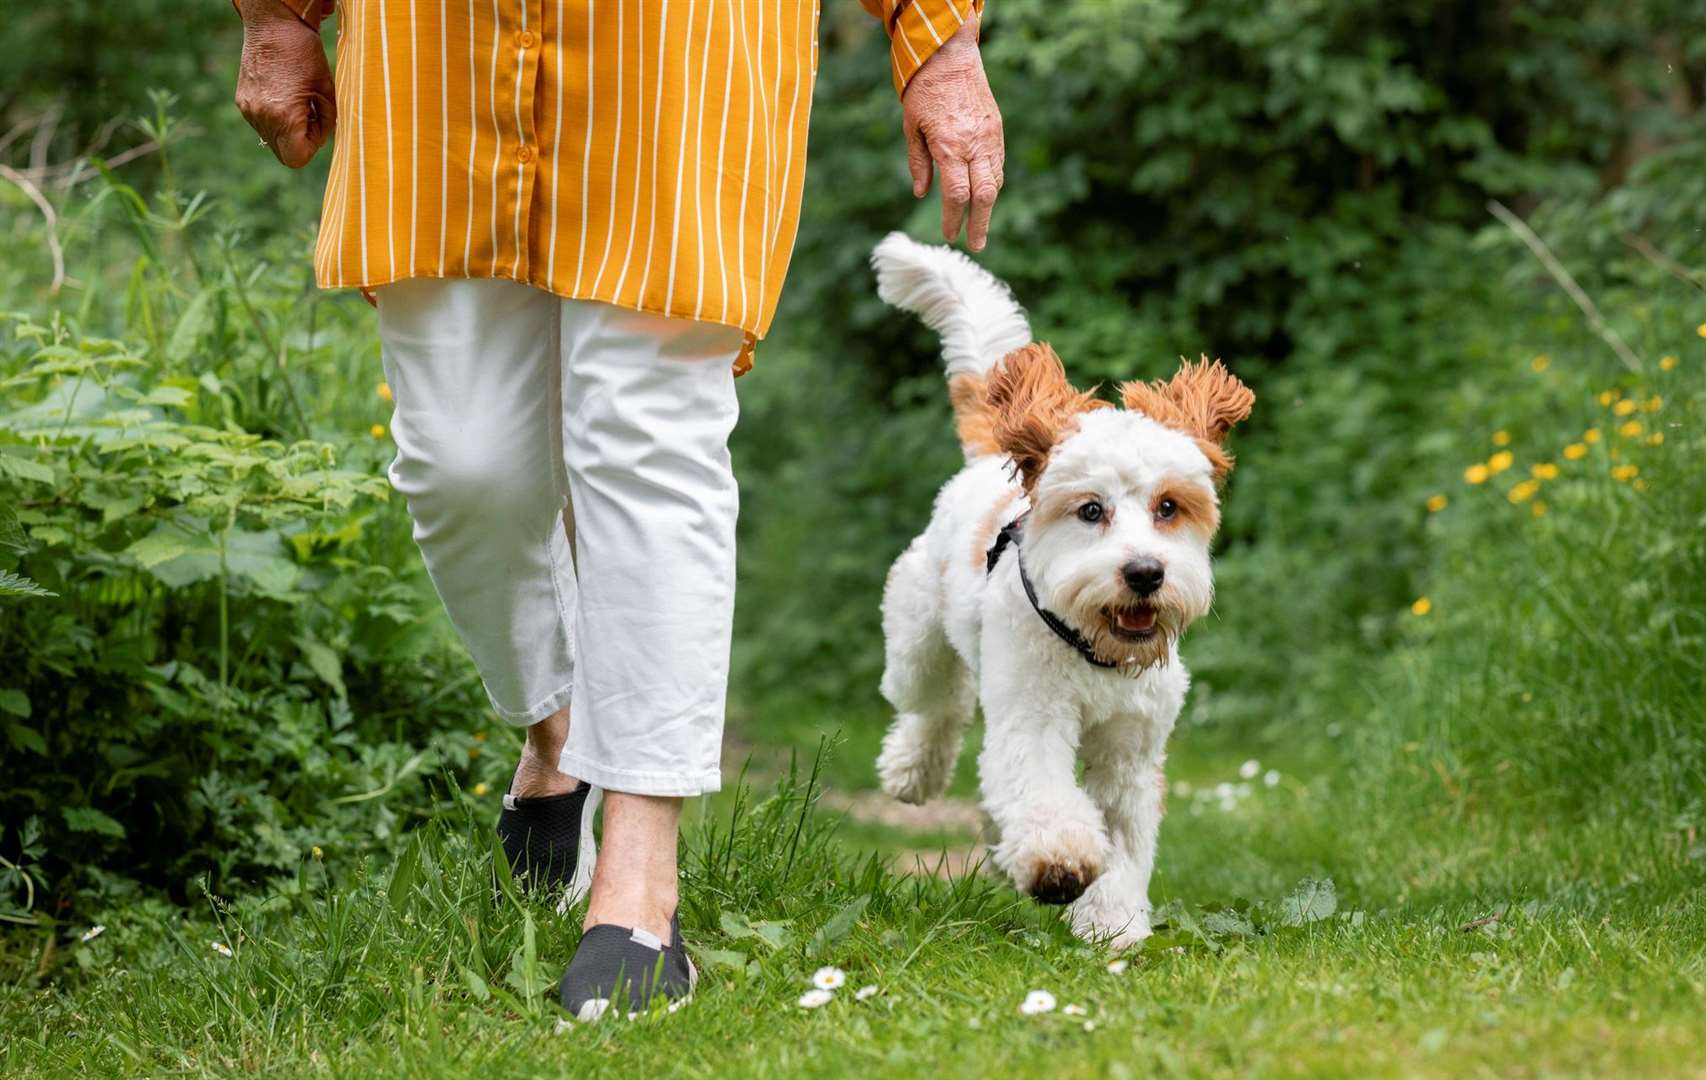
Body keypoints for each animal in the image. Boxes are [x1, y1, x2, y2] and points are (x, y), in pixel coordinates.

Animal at [866, 230, 1255, 941]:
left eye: (1168, 507)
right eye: (1091, 510)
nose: (1144, 572)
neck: (1098, 652)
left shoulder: (1132, 749)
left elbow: (1123, 833)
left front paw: (1114, 919)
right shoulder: (1033, 716)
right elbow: (1042, 790)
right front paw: (1060, 861)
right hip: (916, 633)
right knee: (935, 704)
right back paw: (914, 770)